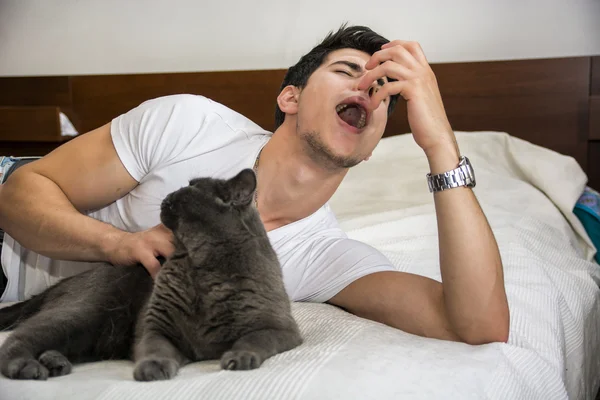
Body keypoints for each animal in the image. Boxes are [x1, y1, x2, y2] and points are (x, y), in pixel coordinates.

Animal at [0, 169, 300, 382]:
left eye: (192, 187)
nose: (169, 194)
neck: (200, 265)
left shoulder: (281, 329)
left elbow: (256, 338)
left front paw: (240, 357)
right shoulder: (155, 325)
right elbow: (155, 348)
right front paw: (153, 368)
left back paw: (54, 362)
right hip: (83, 314)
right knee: (19, 338)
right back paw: (27, 366)